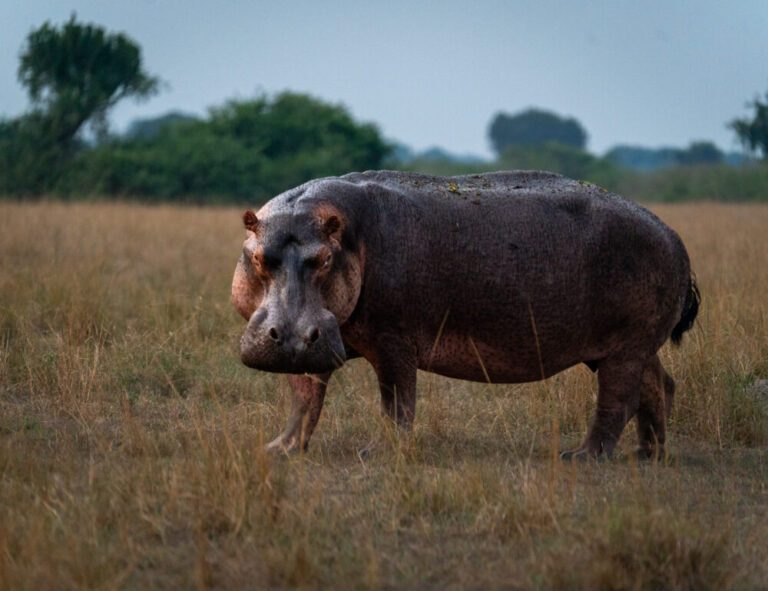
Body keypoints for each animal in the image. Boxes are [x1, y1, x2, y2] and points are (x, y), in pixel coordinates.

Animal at [232, 170, 699, 458]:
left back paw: (582, 456)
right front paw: (279, 450)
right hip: (631, 347)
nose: (291, 336)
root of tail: (673, 234)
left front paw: (378, 453)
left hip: (624, 348)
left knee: (618, 399)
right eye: (256, 256)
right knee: (660, 386)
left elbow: (396, 399)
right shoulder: (317, 343)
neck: (342, 229)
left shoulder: (393, 340)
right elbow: (304, 400)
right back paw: (648, 454)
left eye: (324, 259)